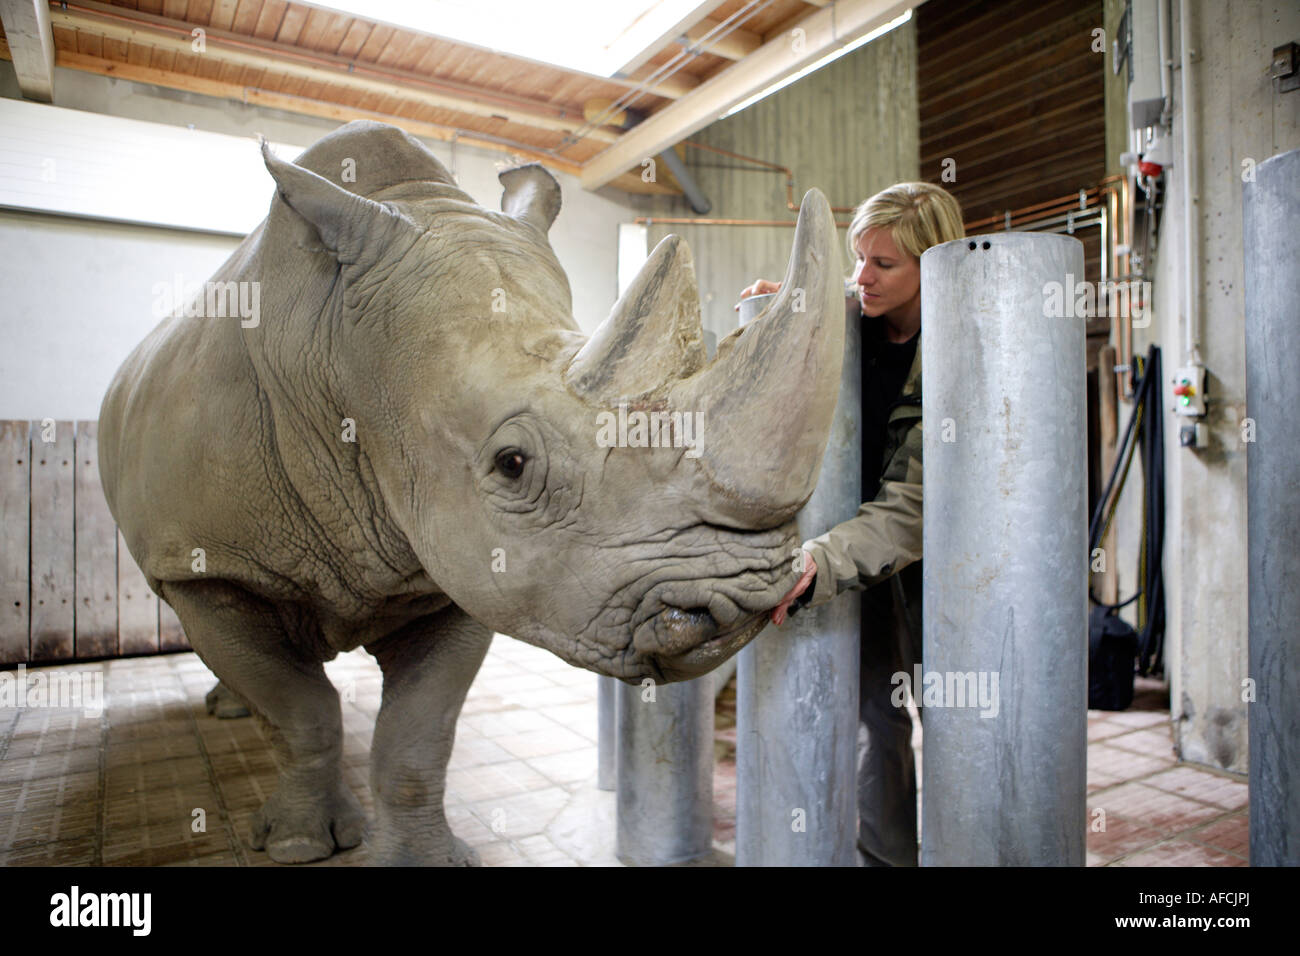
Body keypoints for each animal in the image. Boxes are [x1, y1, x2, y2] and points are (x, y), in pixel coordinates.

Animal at [98, 121, 842, 868]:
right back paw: (228, 711)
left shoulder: (462, 566)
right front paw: (300, 845)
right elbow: (298, 709)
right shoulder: (206, 562)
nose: (744, 601)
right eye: (512, 465)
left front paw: (426, 858)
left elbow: (418, 732)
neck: (342, 359)